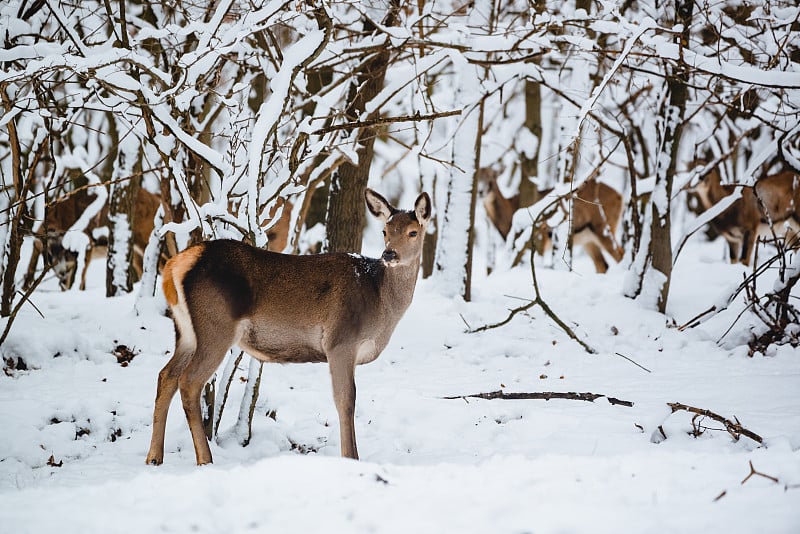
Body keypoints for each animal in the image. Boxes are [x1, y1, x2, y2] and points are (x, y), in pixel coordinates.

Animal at [144, 191, 432, 466]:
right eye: (385, 231)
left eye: (412, 232)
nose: (389, 254)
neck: (378, 301)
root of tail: (175, 265)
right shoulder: (341, 342)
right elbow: (346, 400)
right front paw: (351, 457)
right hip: (216, 326)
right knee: (189, 381)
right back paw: (205, 459)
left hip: (186, 332)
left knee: (165, 375)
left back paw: (154, 457)